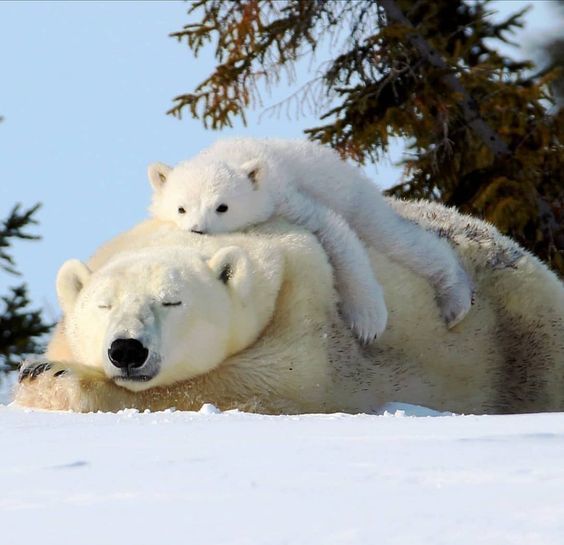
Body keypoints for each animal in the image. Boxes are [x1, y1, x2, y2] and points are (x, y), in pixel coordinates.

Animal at [15, 199, 564, 412]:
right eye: (103, 305)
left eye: (171, 301)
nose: (127, 350)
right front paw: (41, 369)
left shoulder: (308, 300)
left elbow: (270, 383)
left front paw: (54, 378)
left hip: (523, 329)